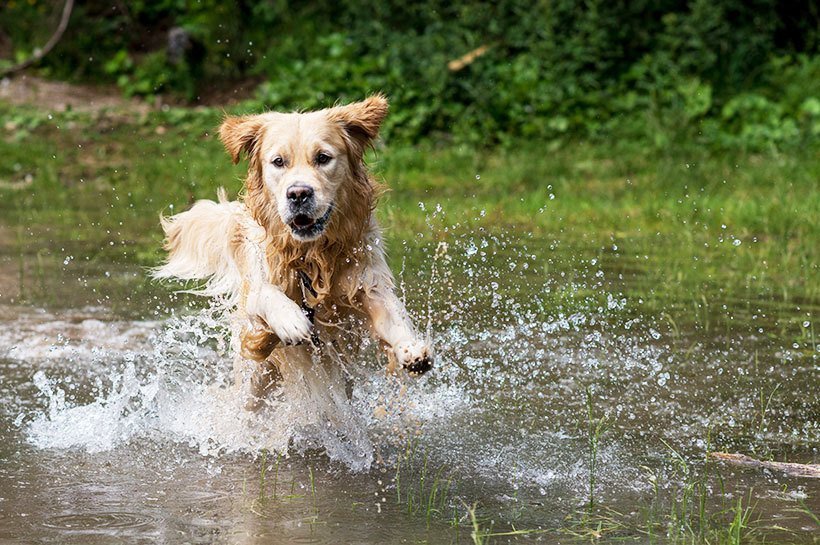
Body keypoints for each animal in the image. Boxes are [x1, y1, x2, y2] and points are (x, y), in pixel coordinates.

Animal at [155, 95, 436, 402]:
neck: (311, 257)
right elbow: (266, 294)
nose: (299, 194)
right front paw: (291, 320)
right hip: (253, 381)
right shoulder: (258, 285)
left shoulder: (366, 282)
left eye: (323, 158)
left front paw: (411, 349)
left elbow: (393, 313)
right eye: (278, 162)